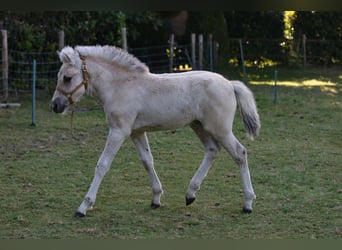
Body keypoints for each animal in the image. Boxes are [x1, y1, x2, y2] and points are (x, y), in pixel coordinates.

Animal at [50, 45, 260, 217]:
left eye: (67, 78)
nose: (55, 105)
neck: (121, 85)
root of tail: (230, 84)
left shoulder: (119, 131)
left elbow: (102, 165)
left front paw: (83, 207)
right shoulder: (136, 133)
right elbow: (147, 161)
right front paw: (156, 199)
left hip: (220, 129)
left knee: (239, 153)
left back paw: (247, 204)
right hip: (199, 125)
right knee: (212, 150)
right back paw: (190, 194)